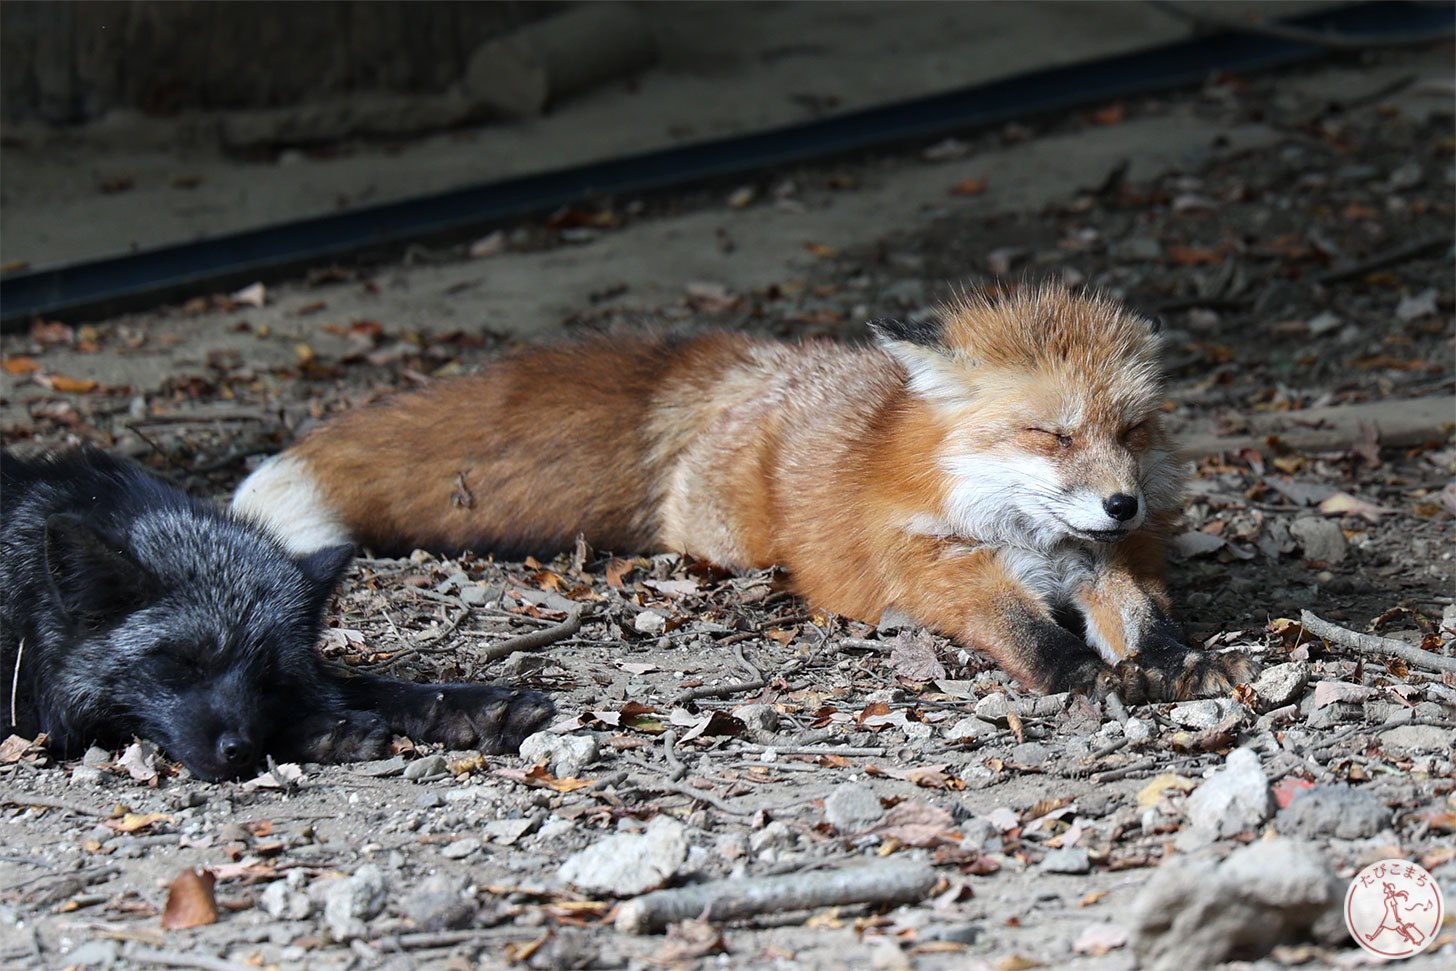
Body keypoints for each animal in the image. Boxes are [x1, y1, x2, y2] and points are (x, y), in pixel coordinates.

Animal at [0, 448, 553, 780]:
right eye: (183, 664)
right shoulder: (35, 717)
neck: (27, 606)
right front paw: (331, 730)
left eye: (269, 680)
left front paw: (475, 705)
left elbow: (372, 687)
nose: (237, 751)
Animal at [235, 285, 1252, 701]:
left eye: (1131, 432)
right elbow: (1025, 633)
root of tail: (751, 366)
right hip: (729, 534)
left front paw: (1174, 661)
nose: (1123, 504)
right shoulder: (942, 574)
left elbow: (1143, 616)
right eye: (1053, 434)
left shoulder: (1104, 564)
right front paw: (1082, 676)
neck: (1028, 538)